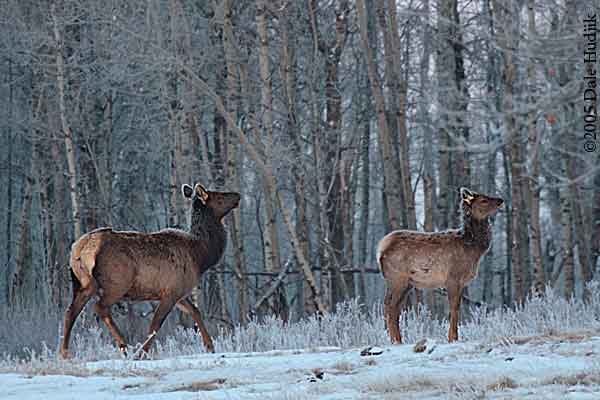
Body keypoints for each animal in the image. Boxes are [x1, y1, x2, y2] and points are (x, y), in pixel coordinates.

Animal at [59, 184, 240, 360]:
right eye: (219, 195)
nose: (237, 195)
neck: (201, 256)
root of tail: (80, 249)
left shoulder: (179, 293)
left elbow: (196, 312)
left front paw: (210, 347)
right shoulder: (171, 291)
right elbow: (155, 324)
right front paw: (142, 353)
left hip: (83, 283)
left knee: (70, 311)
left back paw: (64, 353)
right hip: (116, 283)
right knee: (100, 307)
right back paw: (125, 347)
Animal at [378, 188, 504, 344]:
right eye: (483, 200)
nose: (500, 200)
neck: (473, 249)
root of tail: (381, 249)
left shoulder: (461, 282)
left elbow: (457, 307)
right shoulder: (453, 278)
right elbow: (454, 308)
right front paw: (453, 338)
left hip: (405, 283)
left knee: (393, 307)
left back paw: (397, 340)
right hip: (397, 278)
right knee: (390, 306)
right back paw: (396, 341)